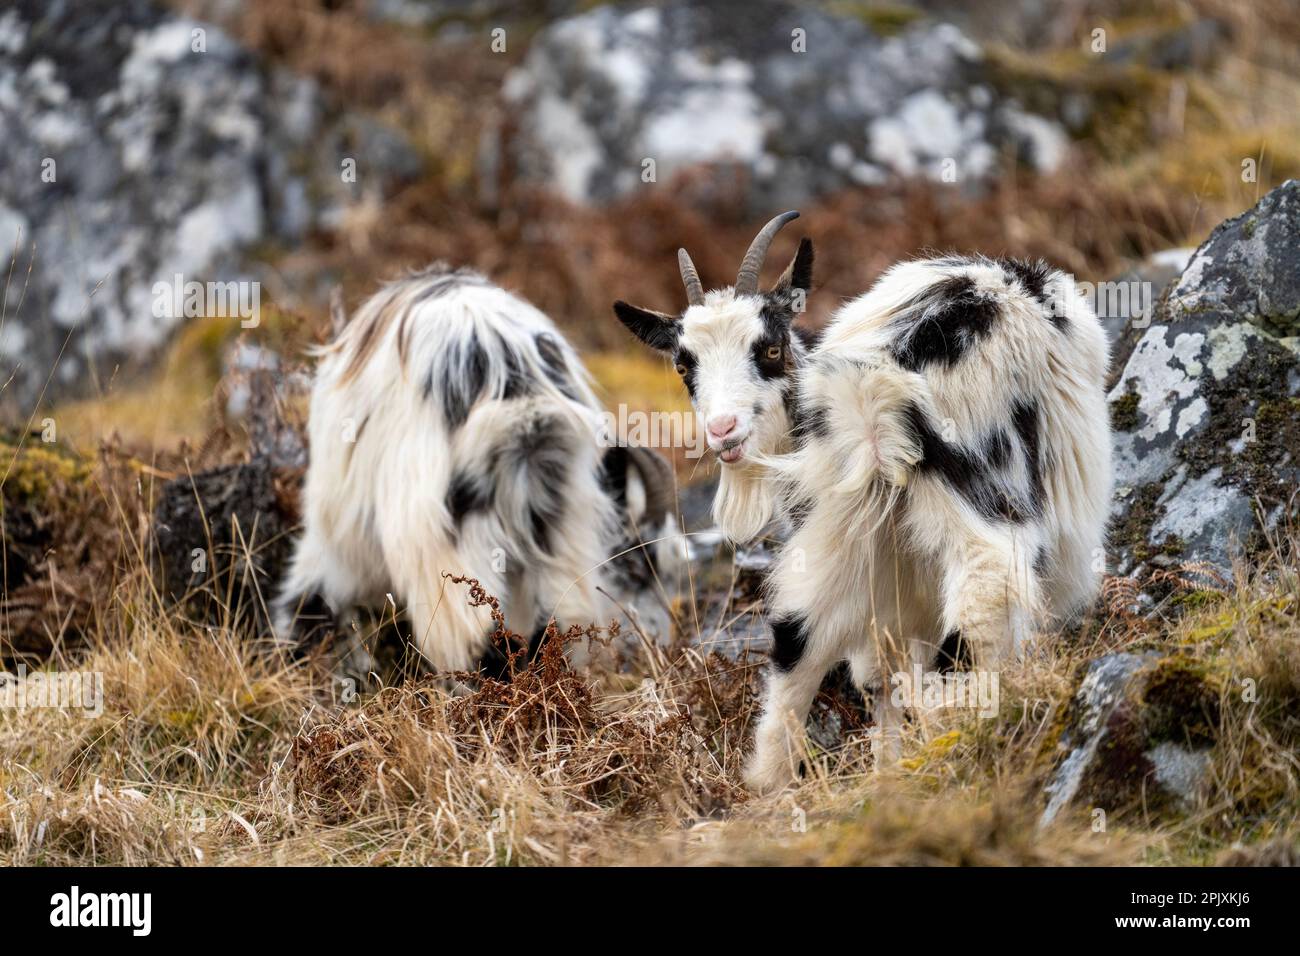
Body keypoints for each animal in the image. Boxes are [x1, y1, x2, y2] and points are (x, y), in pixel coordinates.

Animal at [275, 265, 681, 676]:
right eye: (639, 565)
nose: (656, 646)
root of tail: (522, 404)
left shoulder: (341, 536)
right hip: (561, 529)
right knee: (550, 623)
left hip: (446, 538)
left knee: (476, 639)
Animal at [613, 213, 1112, 790]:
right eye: (683, 364)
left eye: (770, 348)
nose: (723, 431)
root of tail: (879, 390)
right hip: (982, 509)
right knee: (980, 608)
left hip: (836, 530)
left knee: (798, 643)